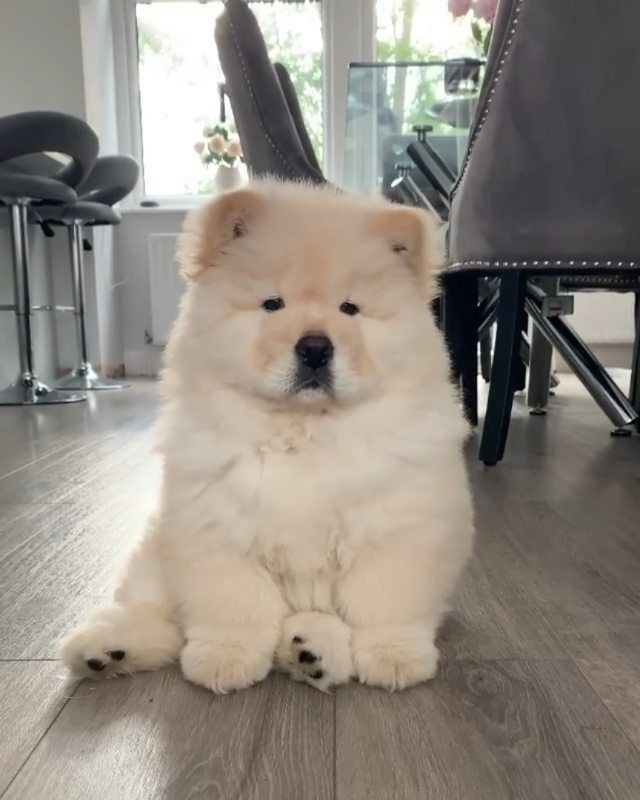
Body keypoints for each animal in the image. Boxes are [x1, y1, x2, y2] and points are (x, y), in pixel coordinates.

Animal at [60, 181, 472, 692]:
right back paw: (106, 648)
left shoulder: (397, 532)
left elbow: (383, 605)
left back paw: (310, 651)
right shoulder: (215, 528)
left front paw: (394, 658)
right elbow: (235, 606)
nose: (315, 347)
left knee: (315, 624)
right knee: (160, 614)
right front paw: (225, 659)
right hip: (158, 552)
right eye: (273, 304)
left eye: (350, 308)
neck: (304, 428)